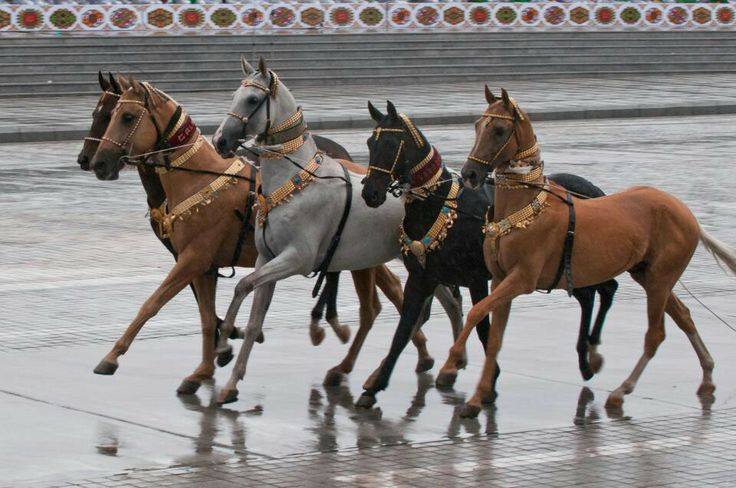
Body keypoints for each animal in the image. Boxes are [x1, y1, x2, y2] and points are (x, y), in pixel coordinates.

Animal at [86, 77, 442, 396]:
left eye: (125, 116)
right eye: (102, 113)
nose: (96, 162)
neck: (198, 179)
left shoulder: (193, 259)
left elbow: (153, 303)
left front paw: (112, 356)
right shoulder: (202, 265)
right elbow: (205, 316)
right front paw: (206, 367)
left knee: (384, 301)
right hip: (362, 257)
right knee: (387, 297)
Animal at [356, 100, 616, 408]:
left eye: (391, 143)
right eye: (370, 142)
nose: (371, 193)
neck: (444, 207)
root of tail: (595, 191)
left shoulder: (478, 279)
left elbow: (482, 328)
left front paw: (486, 383)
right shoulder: (422, 279)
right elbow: (403, 329)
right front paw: (374, 387)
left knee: (606, 289)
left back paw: (592, 352)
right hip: (563, 270)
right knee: (590, 295)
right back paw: (586, 358)